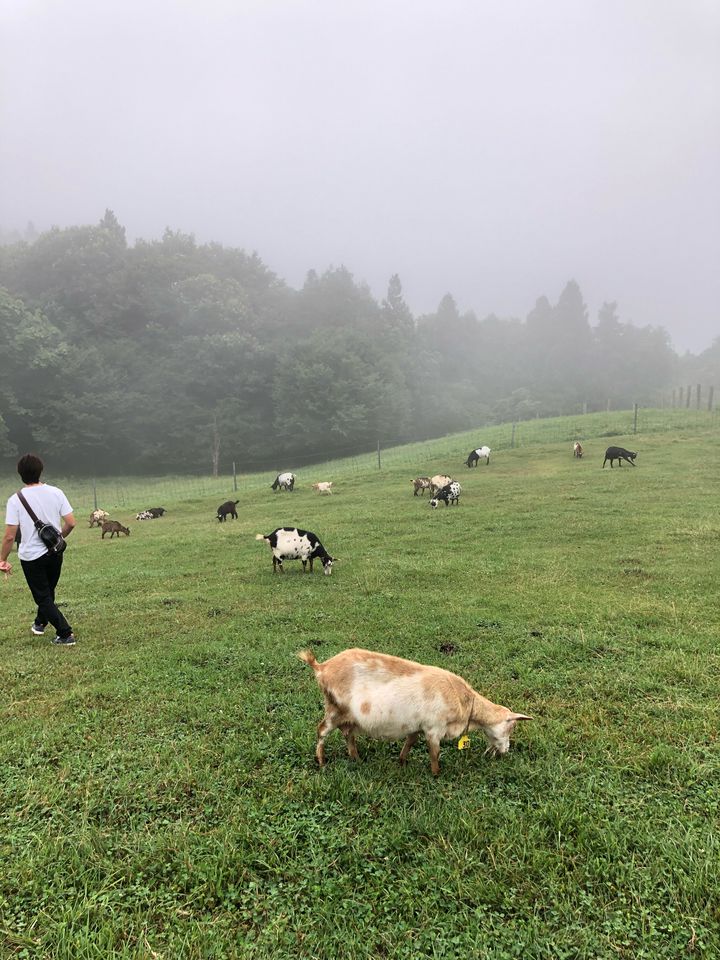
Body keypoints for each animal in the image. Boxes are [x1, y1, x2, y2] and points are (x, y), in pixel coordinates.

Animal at [296, 648, 532, 776]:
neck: (464, 701)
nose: (505, 751)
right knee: (322, 731)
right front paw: (436, 775)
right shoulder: (434, 728)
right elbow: (434, 753)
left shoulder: (417, 726)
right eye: (512, 726)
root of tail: (322, 667)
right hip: (335, 709)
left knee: (348, 735)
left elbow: (409, 742)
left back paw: (356, 758)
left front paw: (401, 762)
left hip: (347, 716)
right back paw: (321, 761)